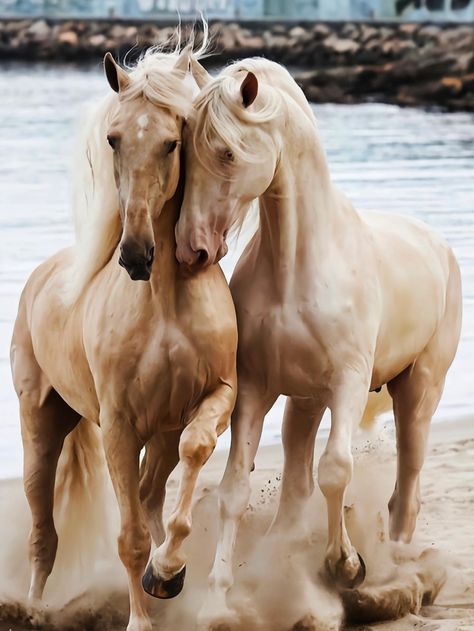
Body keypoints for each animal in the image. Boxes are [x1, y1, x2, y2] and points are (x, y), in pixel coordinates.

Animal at [12, 45, 237, 631]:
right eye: (113, 138)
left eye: (172, 141)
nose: (136, 254)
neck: (164, 305)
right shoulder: (118, 425)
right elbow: (130, 538)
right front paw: (142, 615)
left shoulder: (214, 398)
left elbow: (193, 453)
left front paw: (169, 572)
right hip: (40, 428)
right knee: (43, 533)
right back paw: (34, 608)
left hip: (156, 435)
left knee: (150, 495)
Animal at [176, 58, 462, 624]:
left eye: (227, 152)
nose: (191, 249)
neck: (296, 265)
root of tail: (437, 244)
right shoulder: (256, 389)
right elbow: (235, 490)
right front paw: (218, 601)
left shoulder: (349, 384)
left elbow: (335, 470)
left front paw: (344, 567)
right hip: (304, 403)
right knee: (295, 488)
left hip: (418, 393)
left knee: (406, 490)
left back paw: (394, 574)